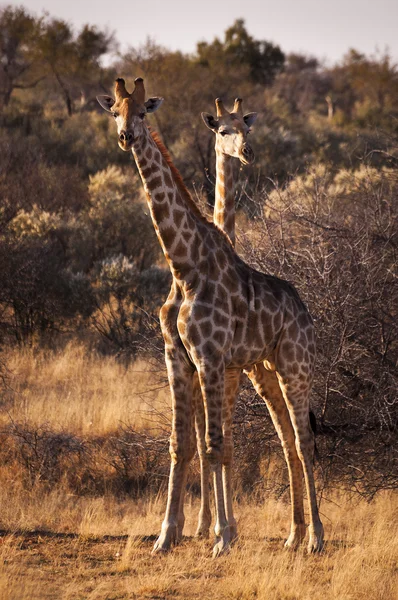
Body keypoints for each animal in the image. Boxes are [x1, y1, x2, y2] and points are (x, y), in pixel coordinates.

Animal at [96, 77, 324, 556]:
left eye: (142, 112)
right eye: (115, 112)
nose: (127, 137)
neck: (184, 265)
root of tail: (304, 308)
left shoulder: (213, 359)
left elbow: (217, 444)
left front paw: (223, 537)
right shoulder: (179, 359)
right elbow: (181, 444)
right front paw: (167, 536)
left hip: (296, 365)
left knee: (304, 439)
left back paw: (316, 536)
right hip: (265, 369)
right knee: (286, 439)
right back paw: (293, 535)